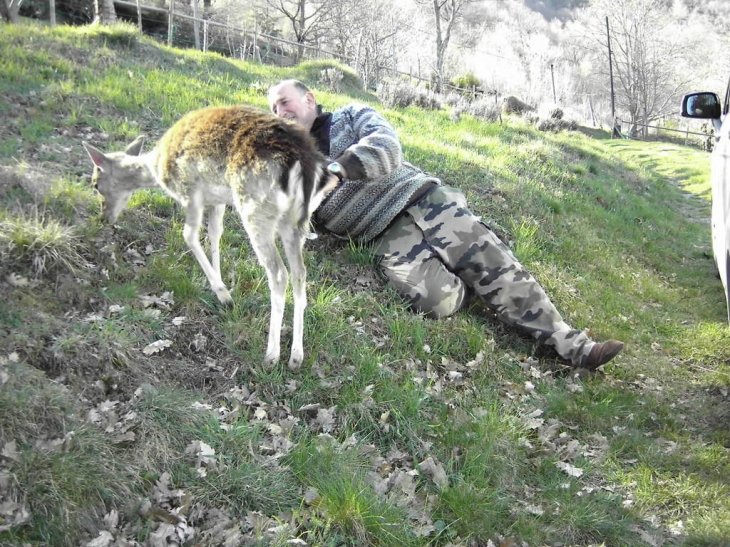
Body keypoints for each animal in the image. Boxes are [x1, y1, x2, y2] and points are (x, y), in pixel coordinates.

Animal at [83, 105, 338, 370]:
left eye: (95, 184)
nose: (104, 217)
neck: (156, 166)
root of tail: (307, 164)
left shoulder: (189, 190)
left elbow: (189, 235)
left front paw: (223, 294)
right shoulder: (217, 200)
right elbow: (215, 233)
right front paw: (222, 283)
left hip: (256, 207)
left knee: (279, 273)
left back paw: (272, 355)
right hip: (295, 221)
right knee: (300, 273)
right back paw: (296, 356)